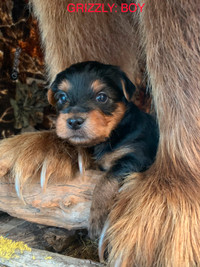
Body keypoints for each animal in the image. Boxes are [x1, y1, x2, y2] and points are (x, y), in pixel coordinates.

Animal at [47, 61, 159, 240]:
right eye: (62, 97)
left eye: (102, 97)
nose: (74, 121)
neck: (113, 132)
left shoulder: (135, 157)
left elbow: (105, 181)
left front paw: (96, 222)